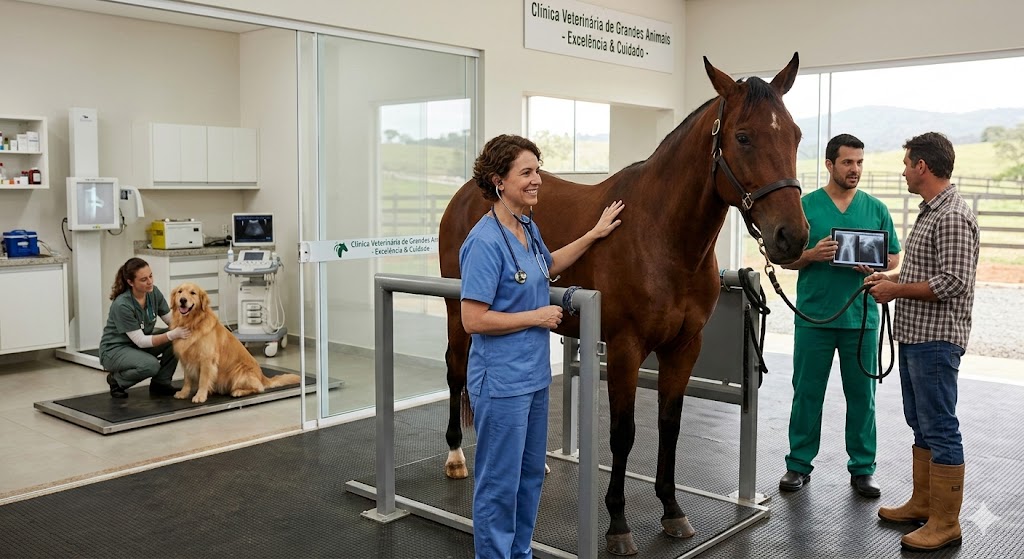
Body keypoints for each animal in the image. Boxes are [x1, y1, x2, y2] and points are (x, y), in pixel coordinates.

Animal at [170, 282, 300, 403]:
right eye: (180, 291)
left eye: (193, 293)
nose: (182, 300)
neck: (192, 323)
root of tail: (262, 377)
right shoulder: (186, 359)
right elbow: (187, 380)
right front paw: (183, 393)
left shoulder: (207, 359)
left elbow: (203, 380)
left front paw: (200, 396)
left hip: (238, 370)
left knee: (259, 388)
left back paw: (238, 391)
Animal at [438, 53, 809, 555]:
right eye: (743, 136)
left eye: (795, 134)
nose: (792, 237)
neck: (663, 237)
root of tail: (467, 193)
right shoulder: (625, 348)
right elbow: (623, 433)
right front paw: (617, 524)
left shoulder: (684, 348)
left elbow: (670, 424)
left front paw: (672, 510)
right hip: (456, 312)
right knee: (457, 369)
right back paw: (457, 455)